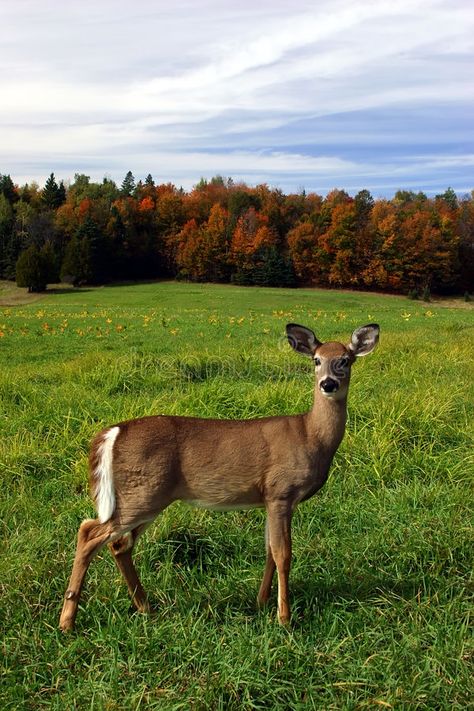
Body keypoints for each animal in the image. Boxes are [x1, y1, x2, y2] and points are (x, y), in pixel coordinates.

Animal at [59, 320, 380, 632]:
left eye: (345, 360)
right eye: (316, 360)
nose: (328, 383)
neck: (311, 436)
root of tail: (112, 432)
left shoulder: (268, 499)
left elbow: (268, 551)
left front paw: (261, 603)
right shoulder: (281, 491)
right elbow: (283, 554)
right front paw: (284, 618)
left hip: (146, 495)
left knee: (120, 545)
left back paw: (145, 607)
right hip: (143, 493)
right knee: (89, 532)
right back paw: (67, 622)